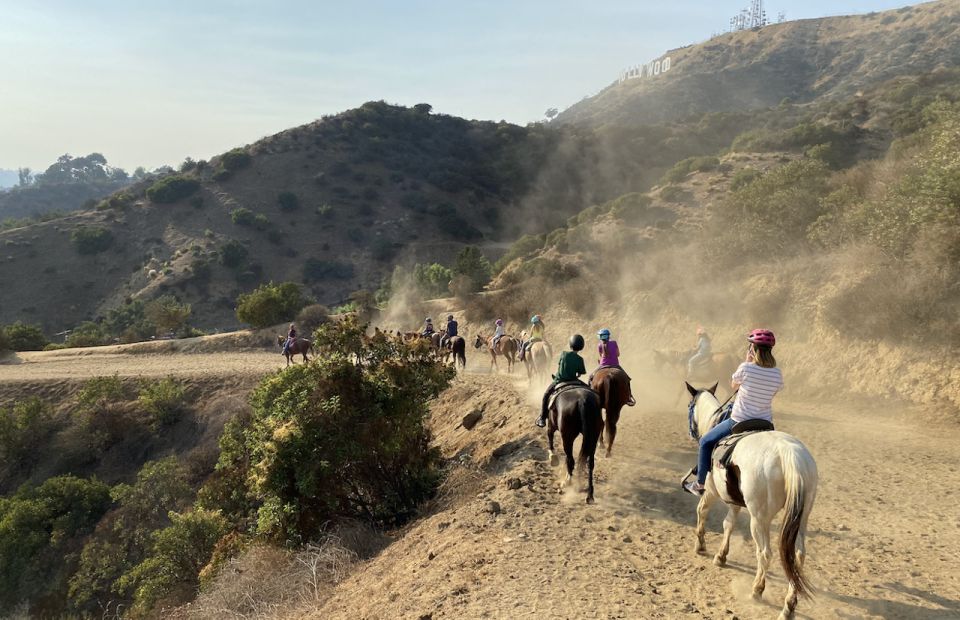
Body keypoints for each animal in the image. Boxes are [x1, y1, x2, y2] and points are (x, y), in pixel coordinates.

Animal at [684, 382, 816, 620]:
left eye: (690, 406)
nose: (690, 433)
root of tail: (790, 455)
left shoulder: (711, 491)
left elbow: (702, 511)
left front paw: (700, 545)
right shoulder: (735, 501)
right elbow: (729, 524)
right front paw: (721, 556)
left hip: (759, 518)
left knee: (765, 553)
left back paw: (757, 590)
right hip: (802, 518)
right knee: (798, 556)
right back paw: (789, 605)